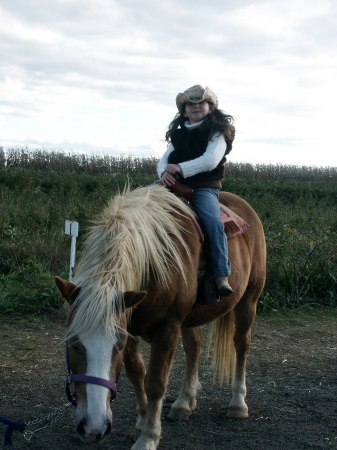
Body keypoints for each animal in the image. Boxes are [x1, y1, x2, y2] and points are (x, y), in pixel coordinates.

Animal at [55, 184, 266, 450]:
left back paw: (238, 403)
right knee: (194, 346)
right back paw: (184, 403)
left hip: (248, 300)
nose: (93, 428)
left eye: (117, 346)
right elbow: (137, 374)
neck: (152, 264)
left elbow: (156, 382)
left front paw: (148, 437)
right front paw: (140, 423)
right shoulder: (130, 326)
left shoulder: (167, 328)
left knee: (241, 344)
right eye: (73, 344)